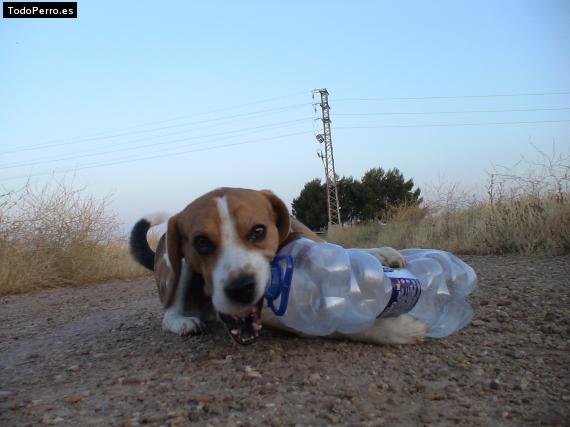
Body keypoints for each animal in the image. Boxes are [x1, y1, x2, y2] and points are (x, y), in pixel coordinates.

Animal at [130, 189, 426, 346]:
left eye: (258, 231)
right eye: (201, 242)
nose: (241, 288)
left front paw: (382, 254)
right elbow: (345, 322)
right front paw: (398, 328)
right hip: (176, 266)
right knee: (169, 313)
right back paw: (183, 322)